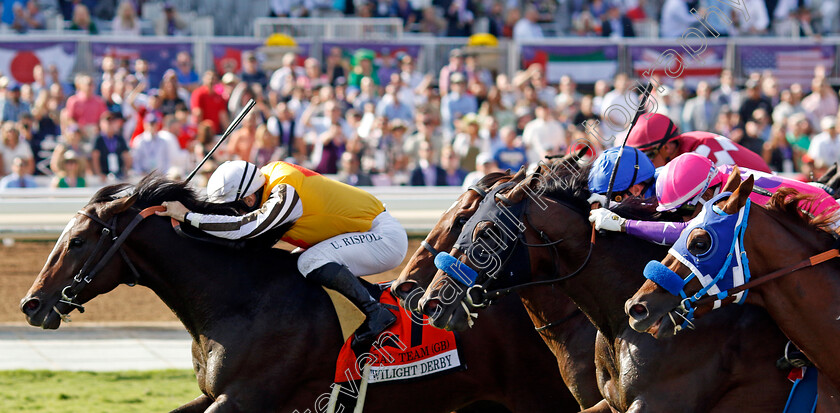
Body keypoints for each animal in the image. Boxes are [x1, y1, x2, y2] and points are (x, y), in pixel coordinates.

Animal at [19, 175, 576, 412]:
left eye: (77, 240)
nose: (31, 304)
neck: (239, 301)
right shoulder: (216, 396)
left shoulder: (247, 398)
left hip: (539, 395)